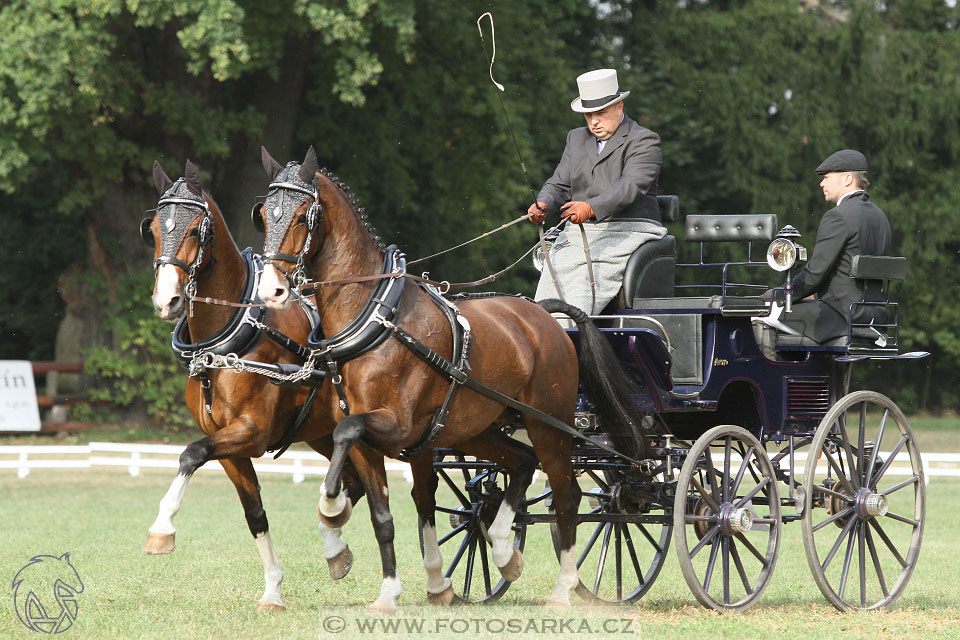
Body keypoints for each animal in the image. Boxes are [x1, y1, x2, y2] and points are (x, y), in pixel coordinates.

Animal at [140, 160, 402, 616]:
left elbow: (190, 454)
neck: (228, 339)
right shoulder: (229, 445)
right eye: (154, 228)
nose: (166, 301)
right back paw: (335, 548)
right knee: (349, 483)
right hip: (320, 432)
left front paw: (162, 528)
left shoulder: (252, 432)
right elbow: (255, 514)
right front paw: (273, 590)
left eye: (194, 230)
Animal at [253, 146, 652, 604]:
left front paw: (332, 511)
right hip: (478, 429)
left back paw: (564, 586)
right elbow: (382, 513)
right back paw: (504, 552)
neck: (377, 316)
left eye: (304, 215)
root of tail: (545, 316)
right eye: (263, 214)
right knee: (522, 464)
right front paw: (385, 592)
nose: (271, 291)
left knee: (565, 495)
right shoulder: (379, 442)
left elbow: (347, 435)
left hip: (549, 424)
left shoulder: (397, 426)